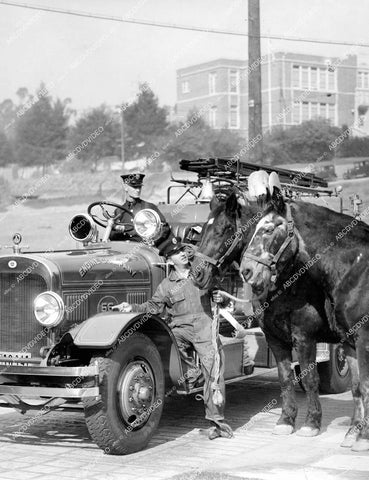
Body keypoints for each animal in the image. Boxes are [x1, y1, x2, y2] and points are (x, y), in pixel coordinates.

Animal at [191, 188, 358, 446]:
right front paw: (286, 421)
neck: (288, 282)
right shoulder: (275, 338)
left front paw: (311, 423)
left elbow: (310, 380)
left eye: (225, 229)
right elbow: (285, 378)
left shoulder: (304, 338)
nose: (197, 274)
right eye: (203, 229)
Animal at [240, 181, 368, 454]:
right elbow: (354, 386)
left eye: (268, 229)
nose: (247, 271)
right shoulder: (346, 341)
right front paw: (353, 433)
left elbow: (316, 379)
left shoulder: (310, 337)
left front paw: (314, 425)